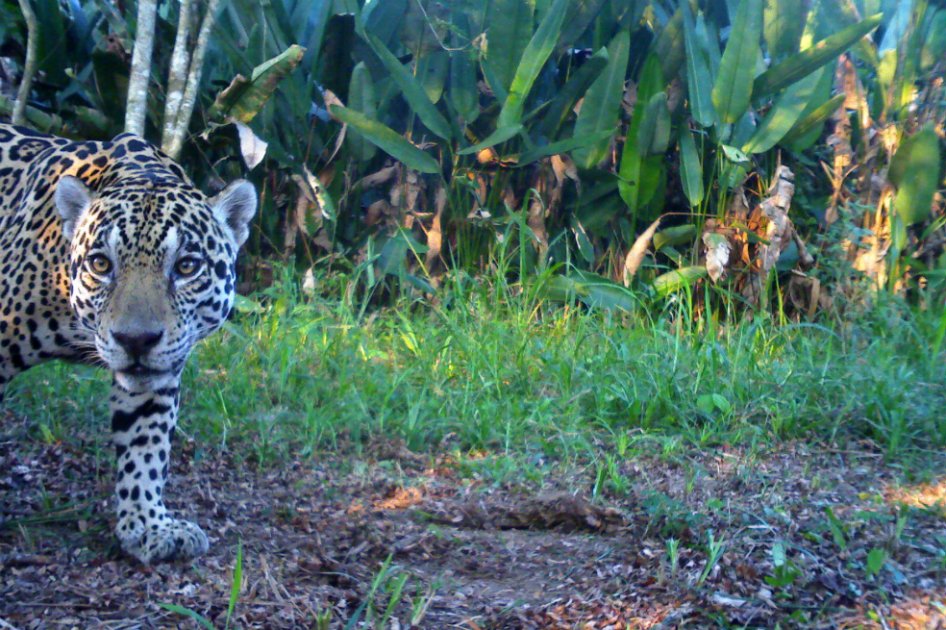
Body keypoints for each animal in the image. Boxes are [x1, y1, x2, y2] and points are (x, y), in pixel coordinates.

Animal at [0, 123, 256, 564]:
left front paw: (149, 524)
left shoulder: (158, 379)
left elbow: (146, 445)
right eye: (101, 264)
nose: (136, 340)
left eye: (186, 266)